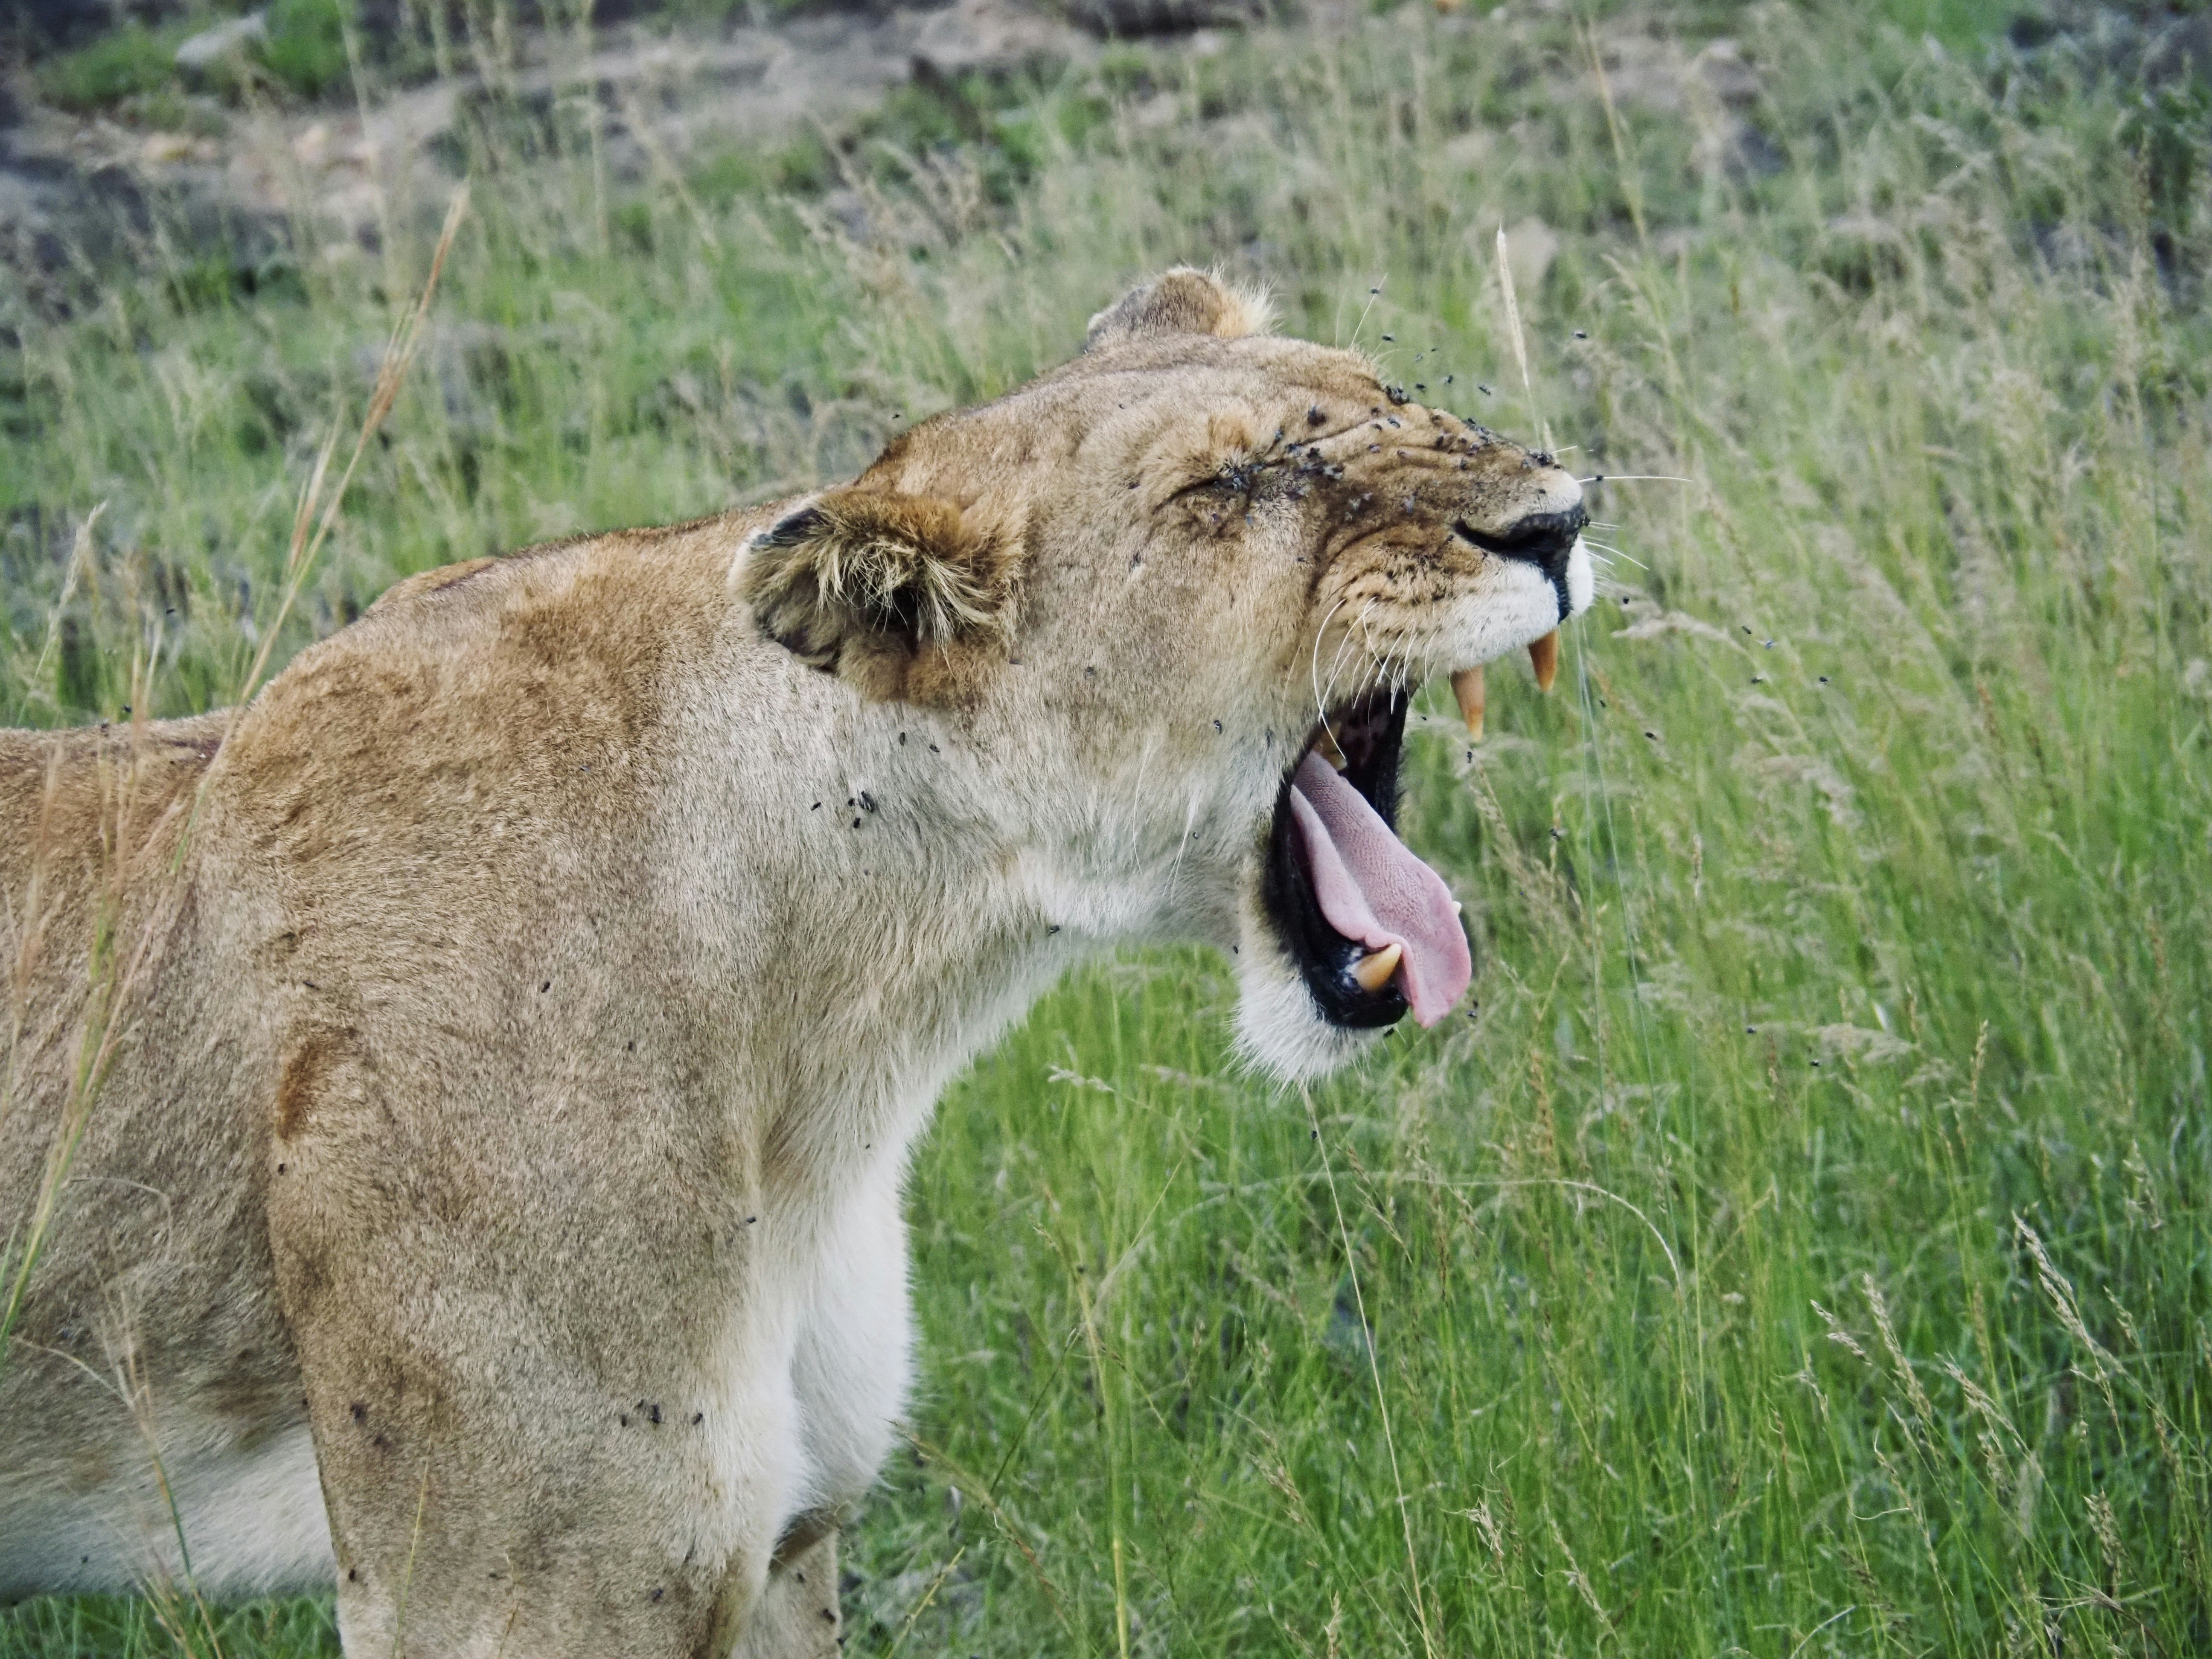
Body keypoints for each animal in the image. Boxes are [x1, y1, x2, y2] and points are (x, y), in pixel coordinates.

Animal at [0, 270, 1592, 1655]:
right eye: (1234, 486)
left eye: (1388, 393)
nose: (1562, 519)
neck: (844, 1045)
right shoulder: (509, 1592)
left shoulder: (784, 1542)